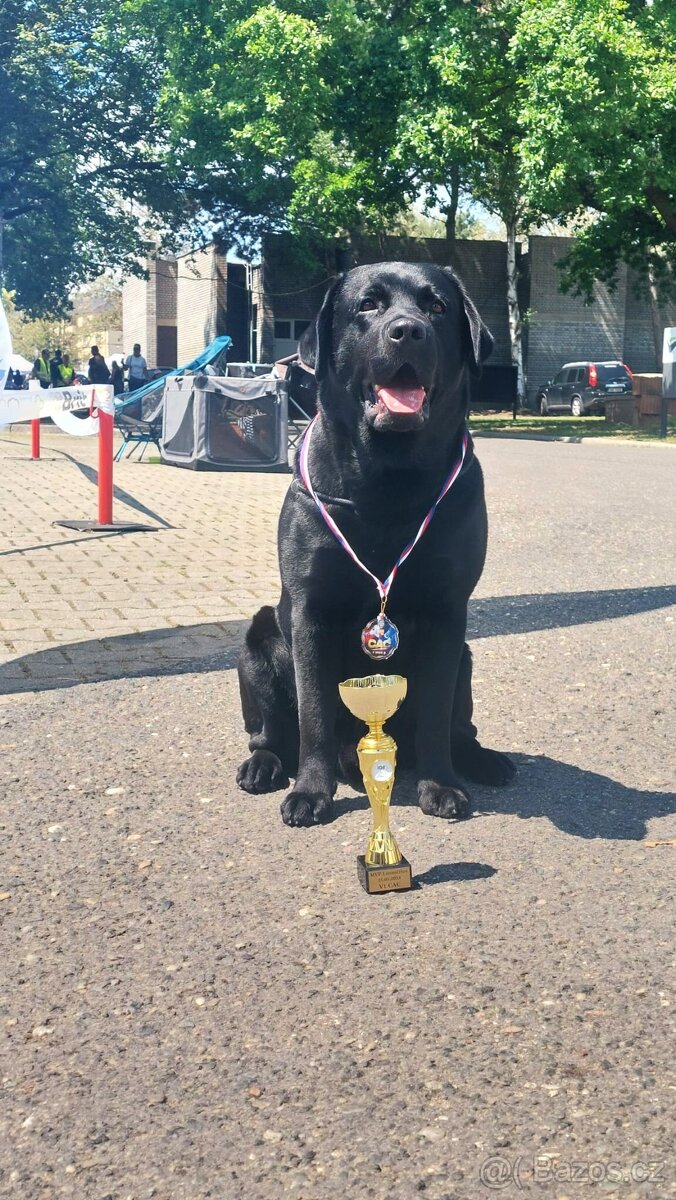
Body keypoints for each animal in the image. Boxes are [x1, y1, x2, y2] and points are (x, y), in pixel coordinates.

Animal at [236, 261, 513, 825]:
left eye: (437, 306)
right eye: (367, 305)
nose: (408, 331)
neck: (390, 477)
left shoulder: (448, 611)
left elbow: (434, 709)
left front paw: (440, 784)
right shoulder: (310, 611)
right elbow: (315, 711)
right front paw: (311, 793)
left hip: (467, 657)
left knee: (459, 726)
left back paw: (482, 760)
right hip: (257, 642)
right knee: (271, 733)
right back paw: (264, 766)